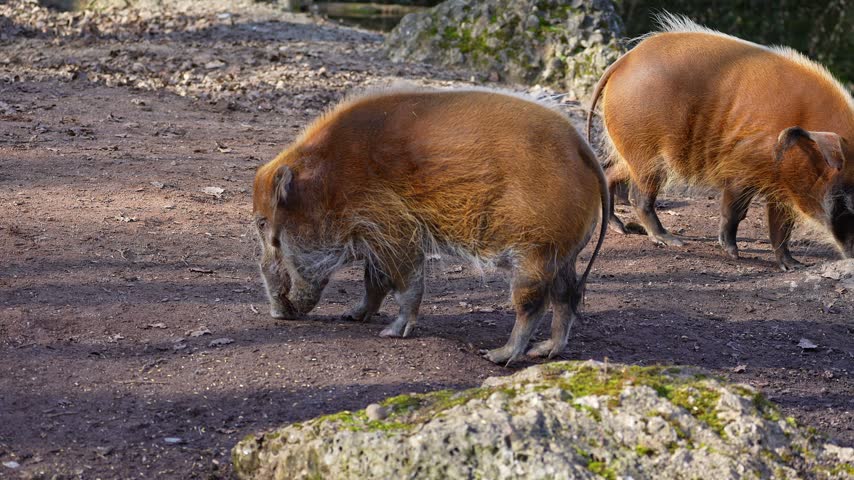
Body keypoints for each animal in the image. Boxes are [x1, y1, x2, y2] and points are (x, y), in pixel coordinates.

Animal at [253, 88, 608, 365]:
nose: (275, 313)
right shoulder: (374, 239)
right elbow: (374, 282)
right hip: (562, 255)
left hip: (535, 252)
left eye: (262, 223)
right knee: (568, 295)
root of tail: (584, 150)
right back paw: (546, 351)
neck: (329, 183)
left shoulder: (395, 232)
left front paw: (391, 333)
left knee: (533, 303)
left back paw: (499, 355)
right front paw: (352, 315)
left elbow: (405, 284)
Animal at [587, 14, 854, 270]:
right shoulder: (743, 167)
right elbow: (735, 210)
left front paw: (792, 265)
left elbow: (780, 226)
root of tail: (622, 62)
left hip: (632, 152)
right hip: (647, 152)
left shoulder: (780, 183)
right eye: (847, 199)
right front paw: (733, 253)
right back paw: (669, 239)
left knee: (610, 173)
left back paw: (620, 227)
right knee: (639, 197)